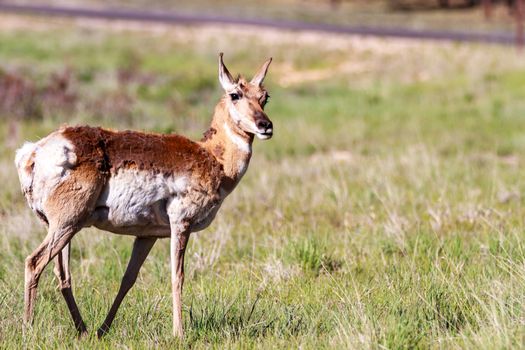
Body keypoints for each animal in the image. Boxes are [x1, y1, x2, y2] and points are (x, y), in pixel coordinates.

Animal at [14, 53, 272, 338]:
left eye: (265, 96)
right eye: (235, 94)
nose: (266, 126)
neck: (212, 157)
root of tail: (34, 151)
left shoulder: (147, 235)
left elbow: (128, 279)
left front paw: (103, 329)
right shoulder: (181, 224)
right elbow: (177, 276)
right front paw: (179, 334)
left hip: (65, 226)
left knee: (62, 275)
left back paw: (83, 329)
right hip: (67, 223)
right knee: (34, 262)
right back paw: (27, 329)